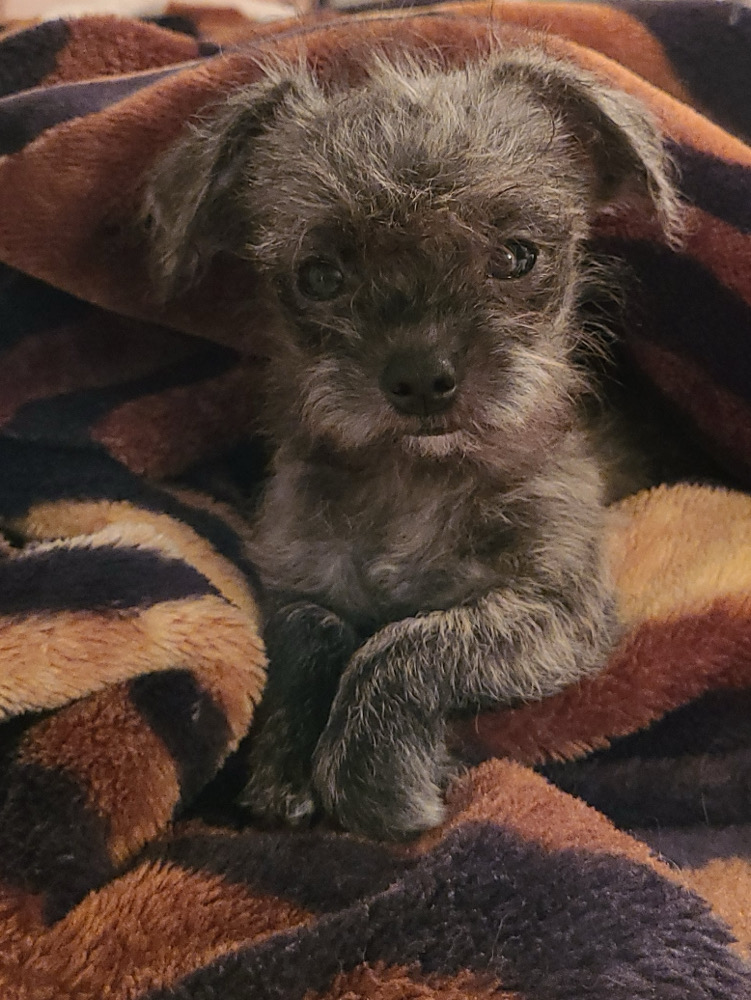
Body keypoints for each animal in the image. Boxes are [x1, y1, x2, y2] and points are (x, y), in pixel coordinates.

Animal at [143, 48, 682, 839]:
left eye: (516, 257)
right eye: (319, 276)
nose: (422, 376)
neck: (415, 479)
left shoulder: (559, 607)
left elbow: (409, 643)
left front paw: (370, 778)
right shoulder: (298, 574)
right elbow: (311, 633)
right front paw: (282, 766)